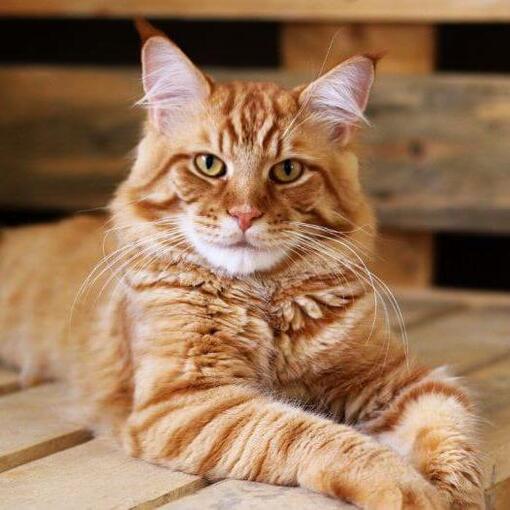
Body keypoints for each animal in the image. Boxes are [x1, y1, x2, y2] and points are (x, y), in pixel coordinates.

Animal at [0, 20, 482, 510]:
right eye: (210, 165)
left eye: (287, 171)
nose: (245, 214)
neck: (262, 295)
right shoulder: (186, 401)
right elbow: (314, 435)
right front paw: (405, 486)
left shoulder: (399, 379)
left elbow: (453, 440)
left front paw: (453, 496)